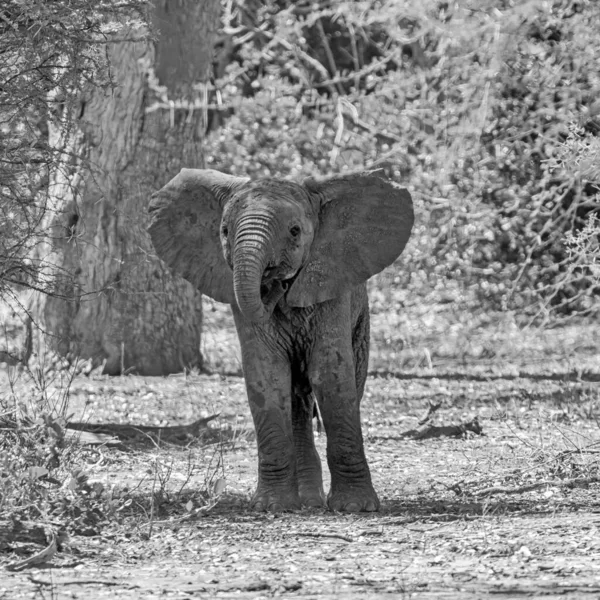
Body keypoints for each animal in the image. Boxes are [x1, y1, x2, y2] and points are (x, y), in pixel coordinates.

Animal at [149, 169, 412, 510]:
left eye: (295, 231)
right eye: (224, 231)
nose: (274, 283)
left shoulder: (332, 287)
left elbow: (330, 374)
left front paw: (355, 507)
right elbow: (267, 374)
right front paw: (271, 505)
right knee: (297, 401)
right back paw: (308, 500)